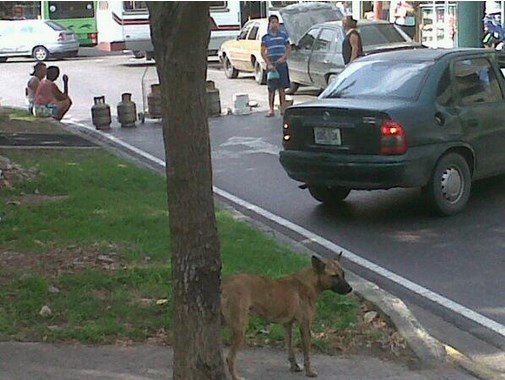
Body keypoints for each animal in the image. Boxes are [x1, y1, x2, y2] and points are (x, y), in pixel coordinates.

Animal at [220, 254, 350, 378]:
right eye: (334, 276)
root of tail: (224, 285)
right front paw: (309, 371)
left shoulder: (287, 325)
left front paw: (294, 366)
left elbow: (290, 347)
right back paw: (236, 376)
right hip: (240, 327)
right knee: (230, 358)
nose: (350, 289)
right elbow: (307, 354)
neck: (309, 282)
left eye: (343, 274)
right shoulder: (305, 326)